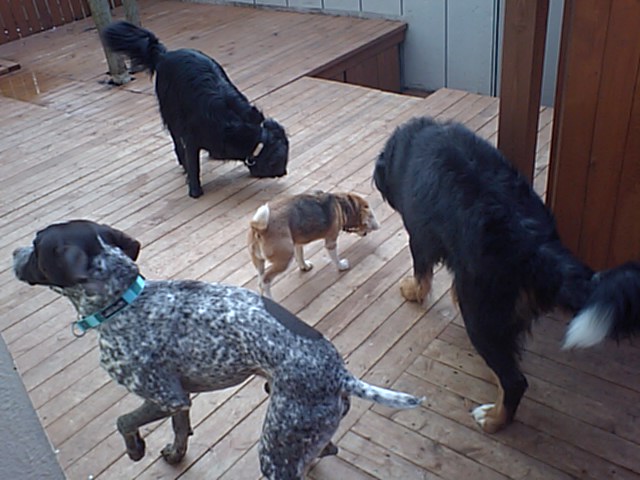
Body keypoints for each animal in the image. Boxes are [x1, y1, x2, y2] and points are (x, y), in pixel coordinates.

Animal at [13, 220, 423, 479]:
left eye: (36, 247)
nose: (14, 252)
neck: (126, 300)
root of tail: (341, 374)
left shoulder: (164, 396)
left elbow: (123, 421)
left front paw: (135, 449)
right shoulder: (179, 400)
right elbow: (180, 430)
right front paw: (175, 454)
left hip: (276, 451)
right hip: (303, 433)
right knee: (327, 450)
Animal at [102, 21, 289, 198]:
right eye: (281, 161)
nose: (284, 173)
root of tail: (165, 54)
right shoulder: (192, 139)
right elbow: (193, 165)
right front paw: (195, 190)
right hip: (171, 113)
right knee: (176, 141)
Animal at [248, 191, 380, 298]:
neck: (342, 204)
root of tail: (258, 228)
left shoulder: (297, 242)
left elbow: (300, 255)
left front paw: (304, 266)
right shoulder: (330, 242)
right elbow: (335, 258)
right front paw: (341, 266)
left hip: (259, 262)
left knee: (260, 280)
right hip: (284, 260)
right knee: (266, 281)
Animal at [373, 116, 640, 433]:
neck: (413, 142)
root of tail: (538, 246)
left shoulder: (420, 235)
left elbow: (421, 273)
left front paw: (413, 292)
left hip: (480, 317)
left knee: (515, 381)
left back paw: (494, 419)